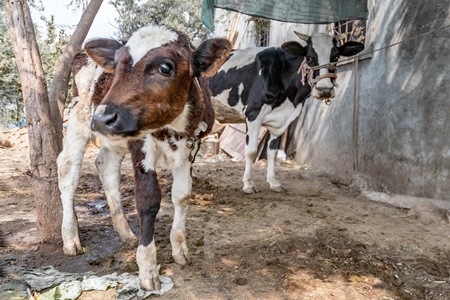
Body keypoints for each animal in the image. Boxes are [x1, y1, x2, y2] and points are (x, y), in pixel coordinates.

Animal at [56, 24, 230, 292]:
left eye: (165, 67)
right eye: (116, 65)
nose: (103, 117)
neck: (174, 128)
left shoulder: (191, 148)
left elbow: (182, 195)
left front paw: (179, 248)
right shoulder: (141, 144)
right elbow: (148, 200)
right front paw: (147, 268)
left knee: (105, 166)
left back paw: (126, 234)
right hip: (78, 117)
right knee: (68, 171)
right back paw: (71, 238)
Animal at [209, 31, 364, 193]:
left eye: (335, 57)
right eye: (310, 58)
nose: (325, 90)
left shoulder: (280, 120)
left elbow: (273, 152)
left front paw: (273, 182)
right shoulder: (253, 113)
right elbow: (251, 151)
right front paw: (248, 184)